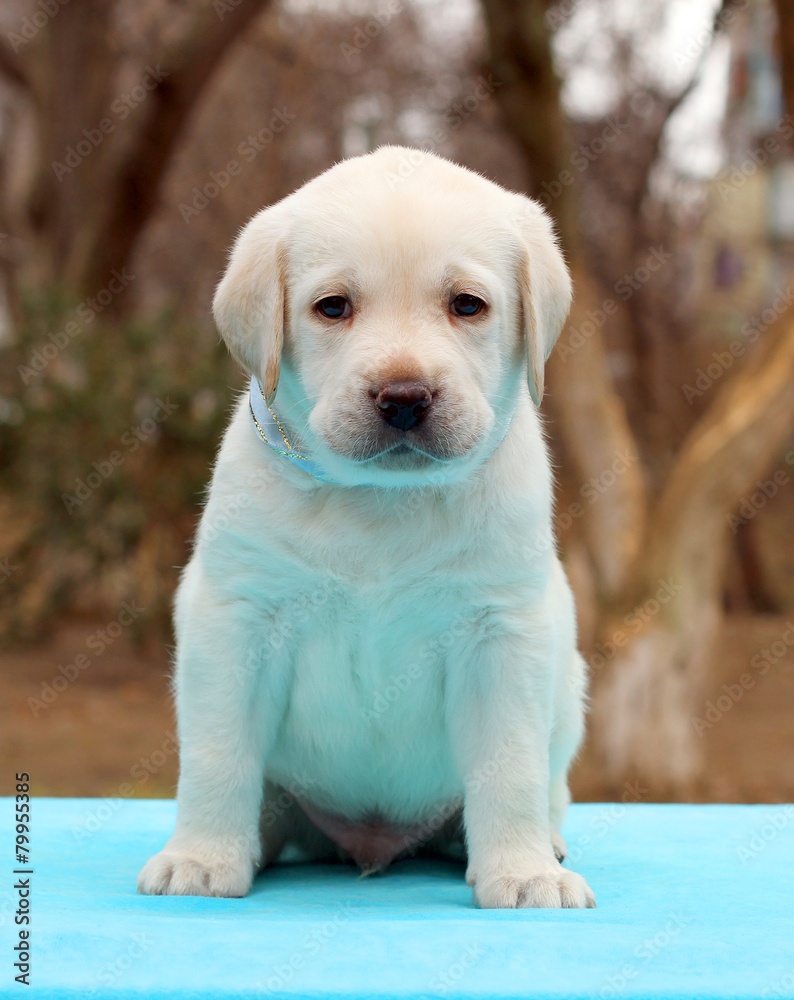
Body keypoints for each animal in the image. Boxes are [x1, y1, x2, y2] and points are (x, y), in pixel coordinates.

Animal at [139, 146, 592, 908]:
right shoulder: (236, 618)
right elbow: (218, 754)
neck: (383, 501)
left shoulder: (501, 632)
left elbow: (510, 765)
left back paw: (541, 846)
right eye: (333, 307)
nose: (404, 398)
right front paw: (200, 858)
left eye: (467, 305)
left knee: (547, 786)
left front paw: (524, 872)